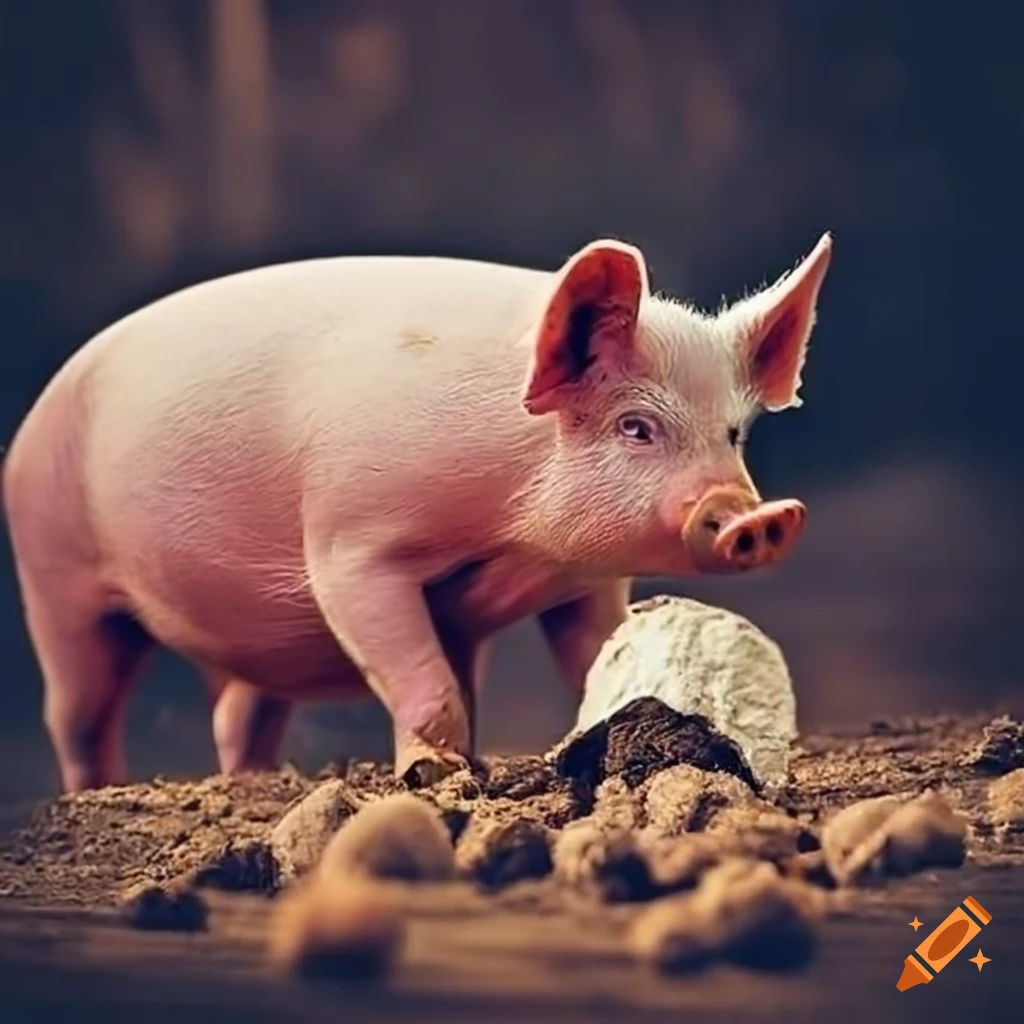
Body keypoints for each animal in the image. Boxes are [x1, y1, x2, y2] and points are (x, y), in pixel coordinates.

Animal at [2, 234, 832, 793]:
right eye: (636, 426)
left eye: (732, 432)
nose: (754, 516)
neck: (517, 537)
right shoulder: (352, 546)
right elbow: (427, 687)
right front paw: (436, 777)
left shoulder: (582, 583)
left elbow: (591, 655)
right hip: (54, 574)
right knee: (77, 712)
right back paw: (100, 793)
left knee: (239, 716)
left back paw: (260, 783)